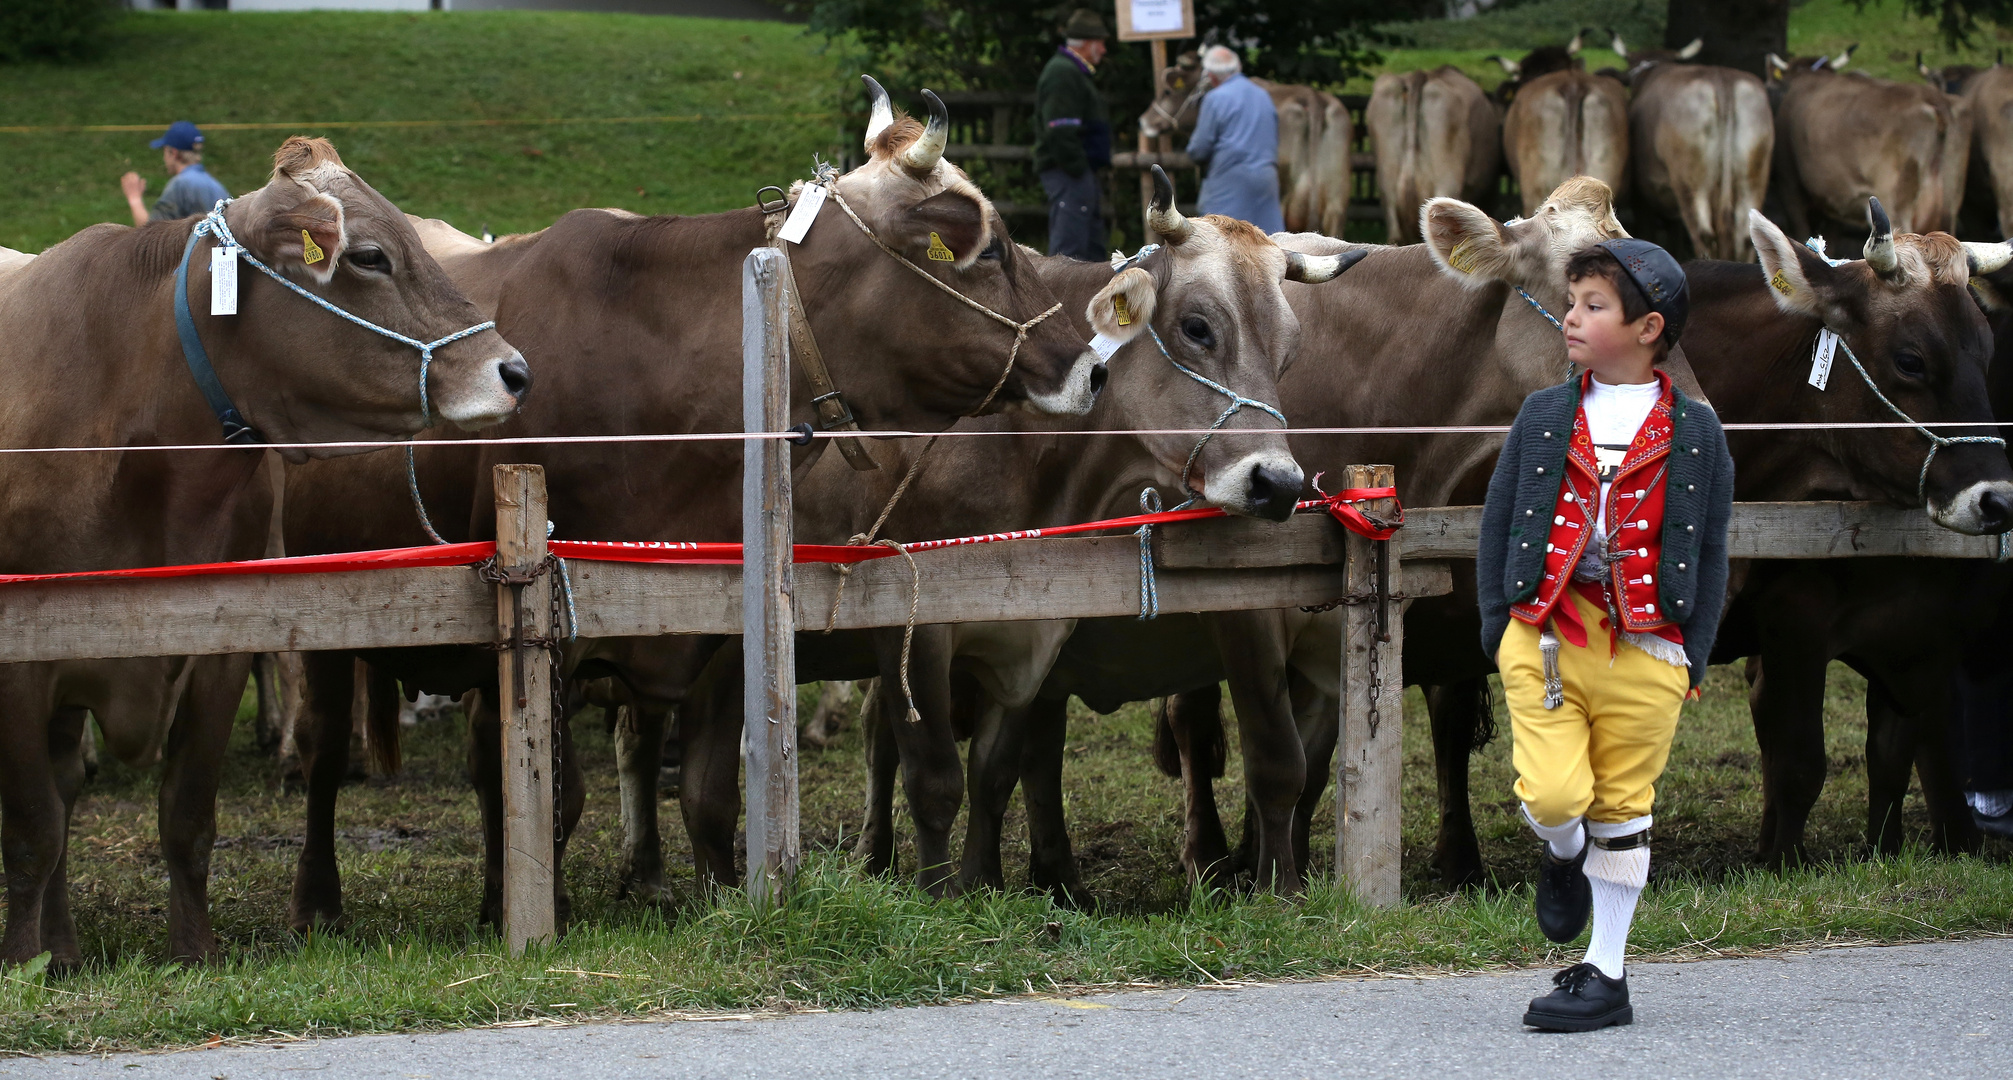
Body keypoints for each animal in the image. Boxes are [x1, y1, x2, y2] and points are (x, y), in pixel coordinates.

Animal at [0, 136, 527, 961]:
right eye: (369, 256)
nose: (513, 371)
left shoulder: (221, 644)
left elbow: (186, 815)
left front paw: (193, 953)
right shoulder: (22, 664)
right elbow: (32, 830)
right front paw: (25, 960)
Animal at [1610, 32, 1771, 261]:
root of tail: (1720, 78)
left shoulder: (1642, 195)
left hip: (1691, 185)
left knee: (1704, 235)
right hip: (1754, 178)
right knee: (1746, 237)